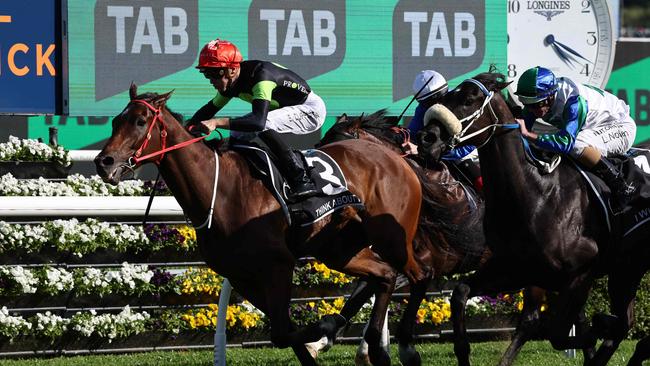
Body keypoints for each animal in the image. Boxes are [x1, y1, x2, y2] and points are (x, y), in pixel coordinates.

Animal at [91, 83, 428, 366]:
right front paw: (321, 335)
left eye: (139, 122)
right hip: (339, 250)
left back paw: (405, 348)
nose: (104, 162)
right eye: (115, 122)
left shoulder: (278, 264)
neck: (220, 190)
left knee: (417, 275)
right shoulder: (240, 274)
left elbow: (282, 331)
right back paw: (377, 348)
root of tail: (395, 158)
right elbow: (285, 331)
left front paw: (323, 325)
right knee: (385, 275)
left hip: (391, 236)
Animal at [316, 111, 596, 366]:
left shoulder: (431, 260)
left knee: (531, 319)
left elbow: (394, 286)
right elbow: (363, 290)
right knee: (574, 312)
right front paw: (325, 339)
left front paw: (397, 349)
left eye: (338, 148)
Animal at [416, 71, 648, 364]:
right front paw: (463, 350)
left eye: (469, 99)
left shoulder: (580, 274)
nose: (426, 138)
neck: (537, 194)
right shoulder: (518, 267)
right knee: (625, 320)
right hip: (627, 267)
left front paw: (597, 327)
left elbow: (559, 332)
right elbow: (461, 293)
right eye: (446, 98)